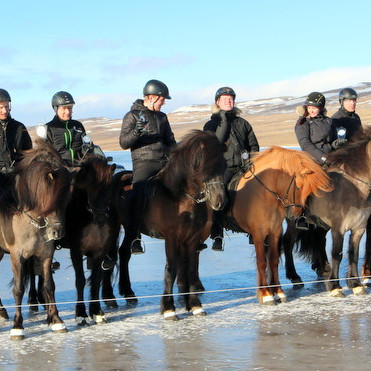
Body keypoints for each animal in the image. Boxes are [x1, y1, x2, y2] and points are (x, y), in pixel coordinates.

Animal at [0, 141, 72, 342]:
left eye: (67, 199)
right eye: (49, 199)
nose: (57, 232)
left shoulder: (45, 254)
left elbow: (49, 285)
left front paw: (56, 320)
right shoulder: (16, 256)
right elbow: (18, 289)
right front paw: (17, 326)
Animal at [101, 131, 227, 320]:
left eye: (223, 165)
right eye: (204, 166)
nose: (220, 201)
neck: (179, 198)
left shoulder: (191, 239)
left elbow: (190, 268)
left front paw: (195, 305)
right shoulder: (172, 238)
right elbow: (171, 269)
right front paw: (169, 309)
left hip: (131, 228)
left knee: (123, 253)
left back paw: (128, 293)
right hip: (114, 226)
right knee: (110, 256)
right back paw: (109, 298)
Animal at [225, 147, 332, 306]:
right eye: (298, 186)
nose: (296, 216)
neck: (262, 192)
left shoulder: (275, 232)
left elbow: (273, 261)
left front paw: (278, 292)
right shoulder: (258, 234)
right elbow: (262, 262)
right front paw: (265, 295)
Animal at [282, 129, 371, 298]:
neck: (354, 187)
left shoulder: (359, 228)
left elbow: (353, 254)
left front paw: (355, 284)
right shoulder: (338, 228)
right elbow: (337, 254)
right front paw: (335, 286)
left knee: (318, 239)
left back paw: (322, 268)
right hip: (293, 221)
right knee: (287, 243)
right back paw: (295, 277)